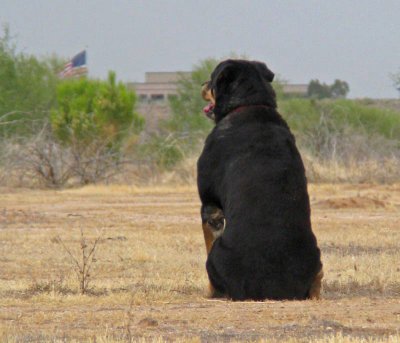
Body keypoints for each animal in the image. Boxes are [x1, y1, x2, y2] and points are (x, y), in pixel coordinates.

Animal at [198, 60, 324, 302]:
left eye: (212, 78)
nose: (202, 84)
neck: (249, 104)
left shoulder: (209, 206)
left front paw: (208, 292)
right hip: (318, 256)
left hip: (217, 256)